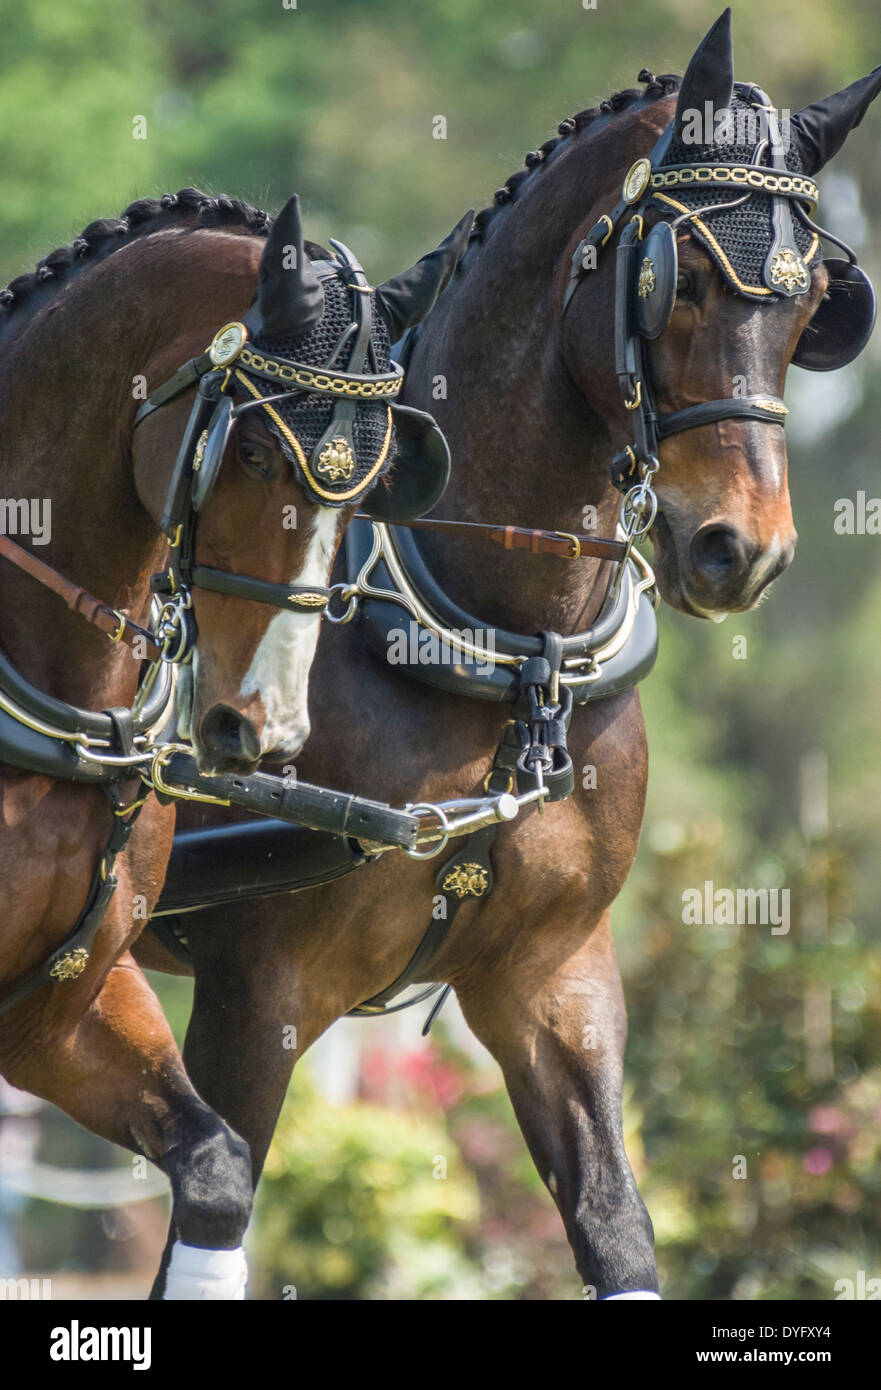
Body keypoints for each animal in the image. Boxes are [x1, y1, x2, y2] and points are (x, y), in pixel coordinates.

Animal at [138, 10, 878, 1295]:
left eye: (811, 310)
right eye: (675, 279)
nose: (742, 550)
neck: (498, 651)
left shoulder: (553, 978)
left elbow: (615, 1223)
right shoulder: (253, 997)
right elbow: (208, 1217)